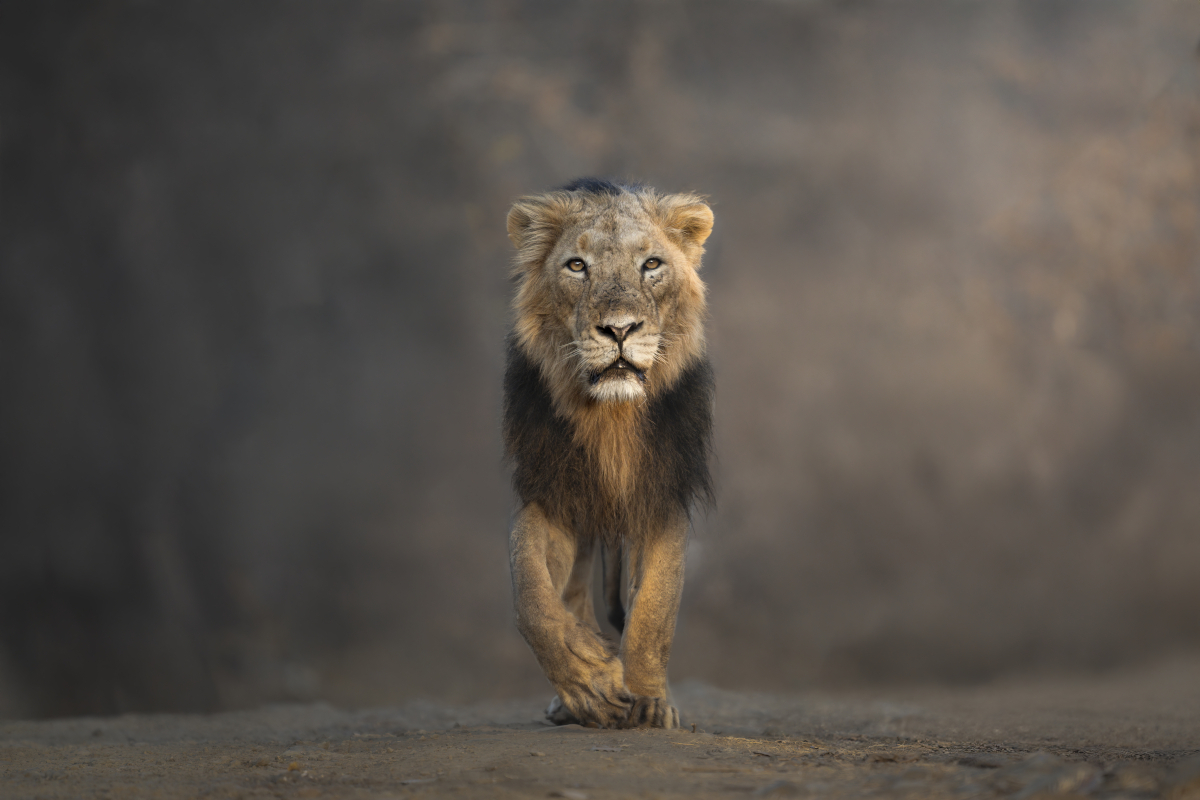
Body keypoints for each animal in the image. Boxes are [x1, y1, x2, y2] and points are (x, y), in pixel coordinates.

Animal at [503, 178, 715, 729]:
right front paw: (589, 679)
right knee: (572, 592)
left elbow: (654, 608)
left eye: (651, 264)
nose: (619, 330)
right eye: (577, 266)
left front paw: (648, 701)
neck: (610, 417)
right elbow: (530, 593)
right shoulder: (550, 490)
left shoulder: (662, 492)